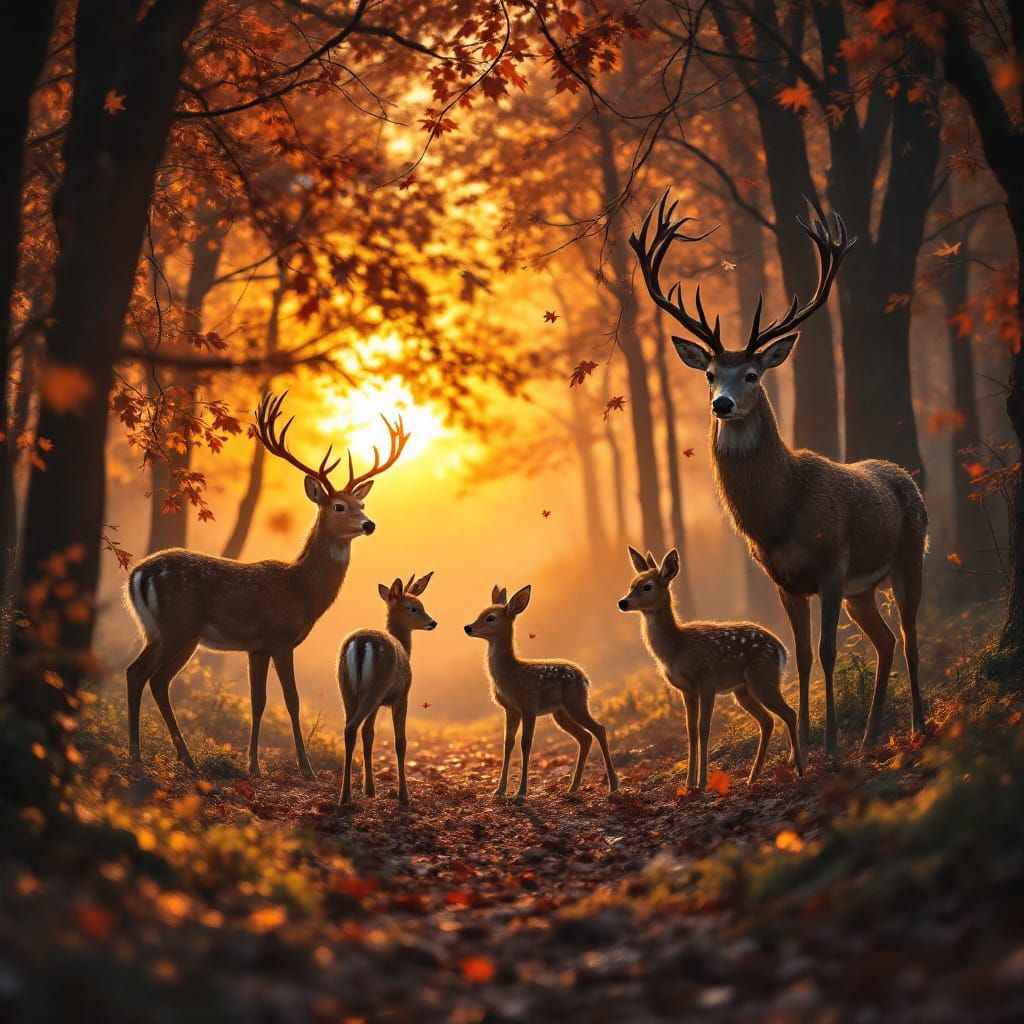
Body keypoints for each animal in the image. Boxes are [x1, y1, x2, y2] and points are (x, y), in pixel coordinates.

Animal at [125, 391, 409, 779]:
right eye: (338, 506)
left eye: (361, 502)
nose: (369, 524)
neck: (302, 592)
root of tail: (136, 575)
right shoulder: (279, 637)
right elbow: (292, 700)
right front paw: (305, 768)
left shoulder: (256, 647)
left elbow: (257, 701)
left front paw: (253, 766)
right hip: (178, 627)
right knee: (151, 677)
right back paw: (166, 758)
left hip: (157, 631)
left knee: (138, 673)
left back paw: (150, 756)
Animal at [338, 572, 437, 806]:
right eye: (413, 607)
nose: (432, 622)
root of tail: (362, 644)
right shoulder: (401, 696)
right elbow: (400, 742)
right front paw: (404, 795)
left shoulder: (378, 704)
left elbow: (369, 734)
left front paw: (369, 789)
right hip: (375, 688)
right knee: (351, 727)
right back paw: (346, 797)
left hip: (347, 688)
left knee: (351, 727)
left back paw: (346, 794)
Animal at [464, 585, 618, 802]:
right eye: (481, 613)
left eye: (490, 617)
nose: (468, 627)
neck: (509, 673)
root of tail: (585, 678)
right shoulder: (511, 710)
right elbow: (507, 744)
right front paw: (499, 790)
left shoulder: (528, 704)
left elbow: (526, 744)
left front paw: (520, 793)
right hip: (560, 713)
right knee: (585, 737)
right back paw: (573, 787)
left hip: (575, 702)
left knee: (599, 729)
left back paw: (613, 786)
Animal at [618, 546, 802, 789]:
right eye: (632, 584)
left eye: (647, 586)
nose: (622, 602)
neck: (677, 648)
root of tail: (782, 650)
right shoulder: (686, 690)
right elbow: (690, 731)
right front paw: (689, 783)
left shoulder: (706, 680)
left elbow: (704, 728)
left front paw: (702, 781)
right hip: (743, 689)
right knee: (768, 720)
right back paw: (753, 776)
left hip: (763, 677)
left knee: (789, 713)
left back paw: (799, 768)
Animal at [630, 192, 927, 759]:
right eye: (709, 374)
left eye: (751, 374)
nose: (722, 404)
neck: (780, 515)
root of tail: (906, 477)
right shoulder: (784, 580)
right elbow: (804, 655)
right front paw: (803, 747)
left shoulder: (833, 565)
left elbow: (828, 652)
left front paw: (828, 743)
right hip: (862, 590)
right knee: (885, 640)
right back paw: (871, 735)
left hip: (909, 555)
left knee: (910, 633)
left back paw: (920, 725)